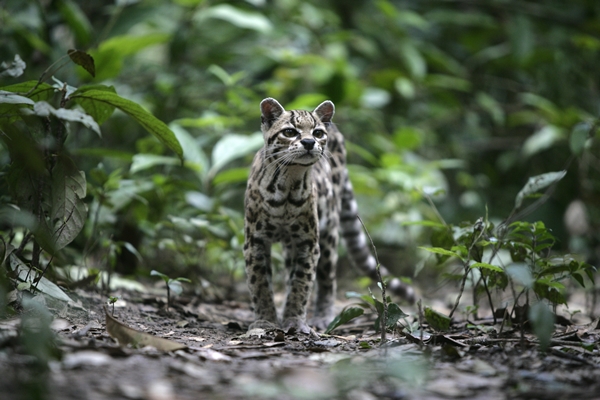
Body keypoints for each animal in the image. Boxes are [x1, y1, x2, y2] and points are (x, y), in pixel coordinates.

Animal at [244, 98, 412, 332]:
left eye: (317, 133)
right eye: (290, 131)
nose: (308, 142)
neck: (287, 183)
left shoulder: (308, 242)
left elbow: (302, 283)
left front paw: (294, 320)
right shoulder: (255, 241)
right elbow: (259, 283)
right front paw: (265, 321)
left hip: (329, 232)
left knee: (327, 280)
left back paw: (322, 317)